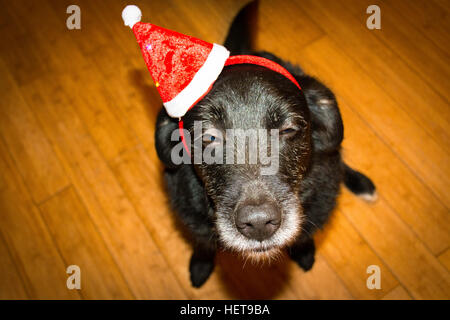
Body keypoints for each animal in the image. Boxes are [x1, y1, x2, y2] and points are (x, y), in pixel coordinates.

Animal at [155, 1, 376, 288]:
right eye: (209, 137)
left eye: (288, 129)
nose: (259, 224)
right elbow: (203, 244)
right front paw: (201, 265)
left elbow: (305, 235)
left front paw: (304, 252)